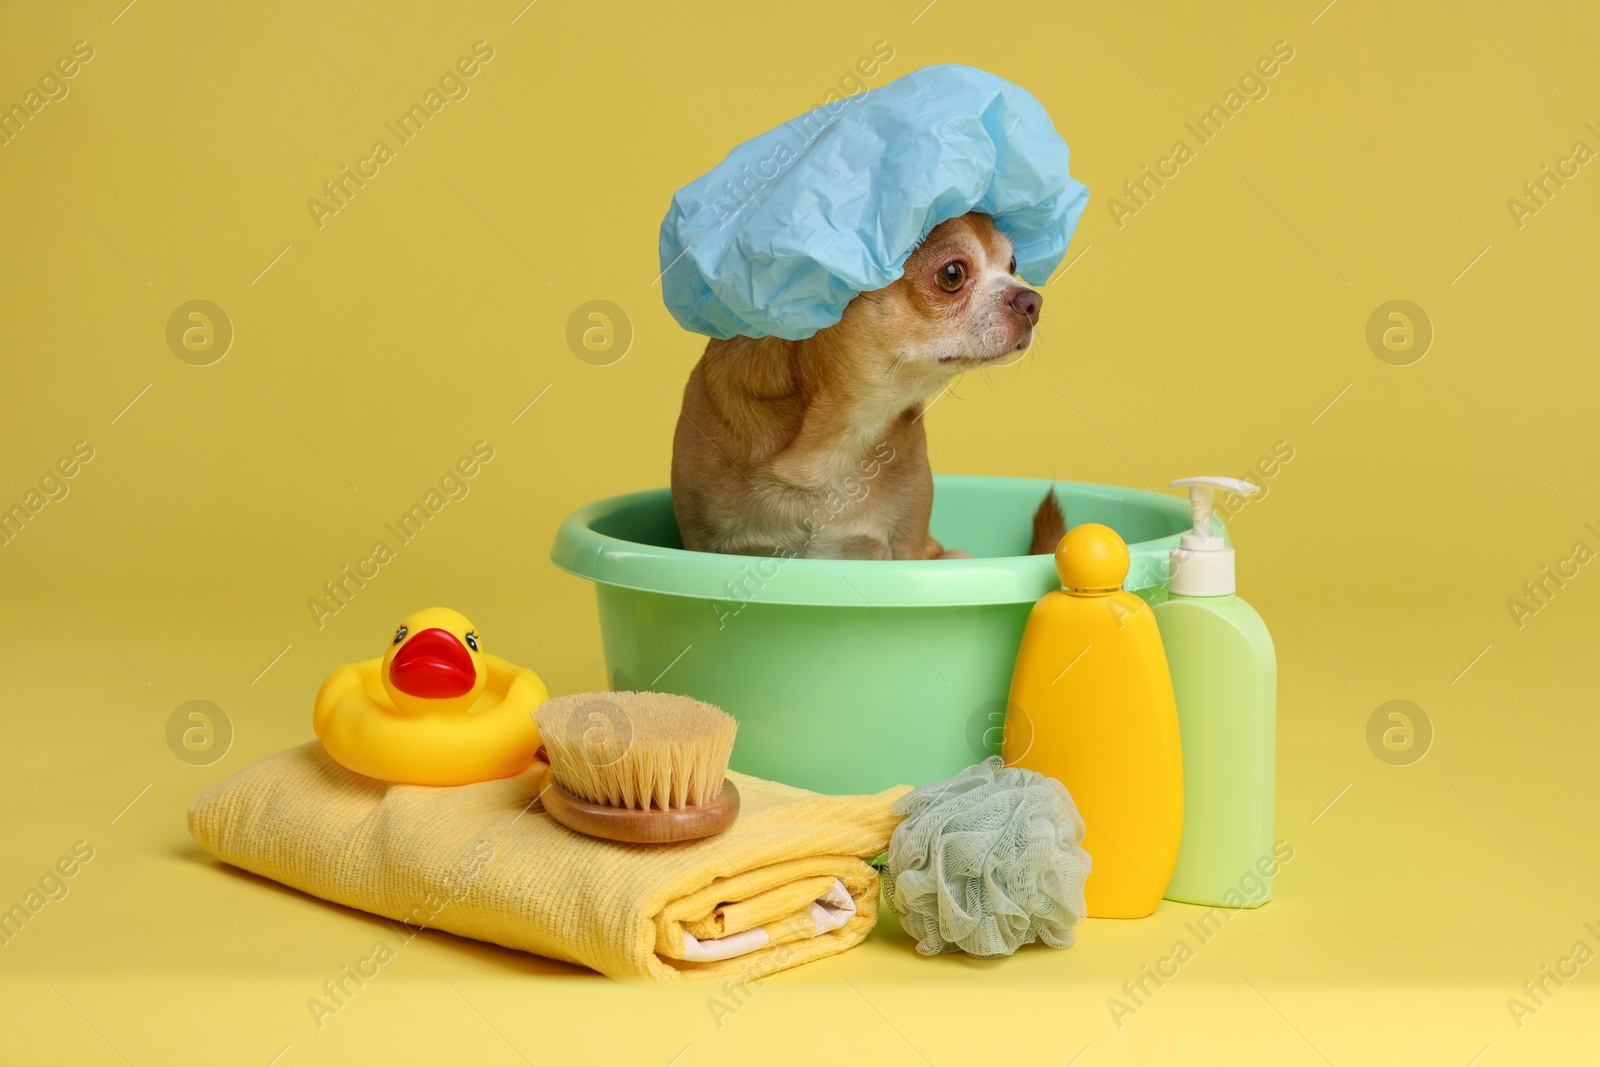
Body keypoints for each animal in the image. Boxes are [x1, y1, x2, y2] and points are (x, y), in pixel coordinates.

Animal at [672, 207, 1062, 559]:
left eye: (1012, 265)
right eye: (951, 275)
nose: (1033, 301)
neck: (837, 436)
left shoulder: (908, 549)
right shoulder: (701, 542)